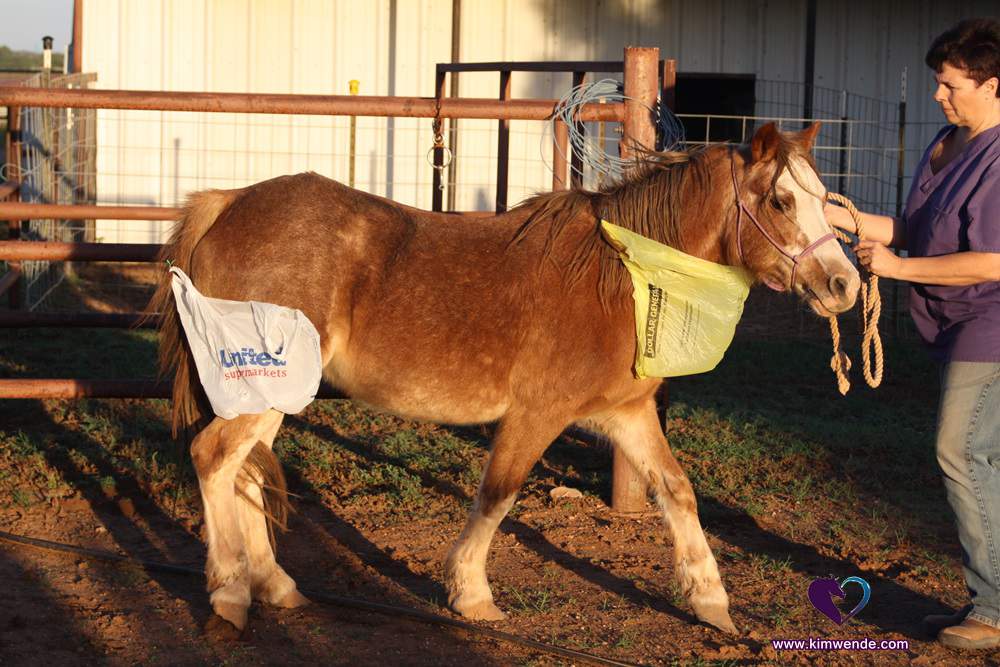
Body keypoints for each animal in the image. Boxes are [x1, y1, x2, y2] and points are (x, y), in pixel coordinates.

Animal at [148, 121, 860, 636]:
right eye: (781, 200)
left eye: (823, 200)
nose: (843, 285)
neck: (620, 278)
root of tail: (227, 206)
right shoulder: (537, 414)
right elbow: (498, 496)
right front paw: (471, 596)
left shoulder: (628, 415)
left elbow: (677, 493)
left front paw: (711, 602)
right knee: (214, 458)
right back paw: (230, 594)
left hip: (271, 393)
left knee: (243, 471)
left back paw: (277, 587)